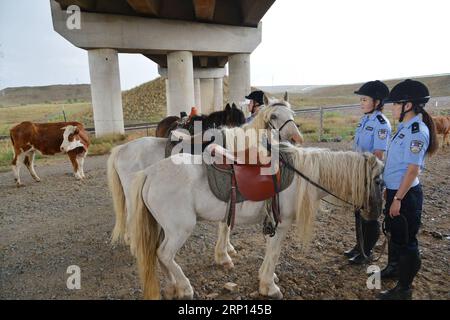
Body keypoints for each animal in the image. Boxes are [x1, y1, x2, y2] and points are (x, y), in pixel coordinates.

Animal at [106, 97, 302, 262]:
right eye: (274, 116)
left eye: (292, 114)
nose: (296, 138)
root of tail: (121, 149)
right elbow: (225, 225)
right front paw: (224, 253)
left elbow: (226, 222)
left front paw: (227, 248)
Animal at [125, 141, 384, 298]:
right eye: (379, 180)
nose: (376, 215)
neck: (301, 175)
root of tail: (149, 173)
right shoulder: (281, 224)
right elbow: (275, 252)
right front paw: (269, 286)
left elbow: (270, 252)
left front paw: (266, 277)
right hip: (180, 229)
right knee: (165, 254)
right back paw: (185, 287)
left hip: (165, 228)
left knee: (160, 256)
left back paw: (173, 286)